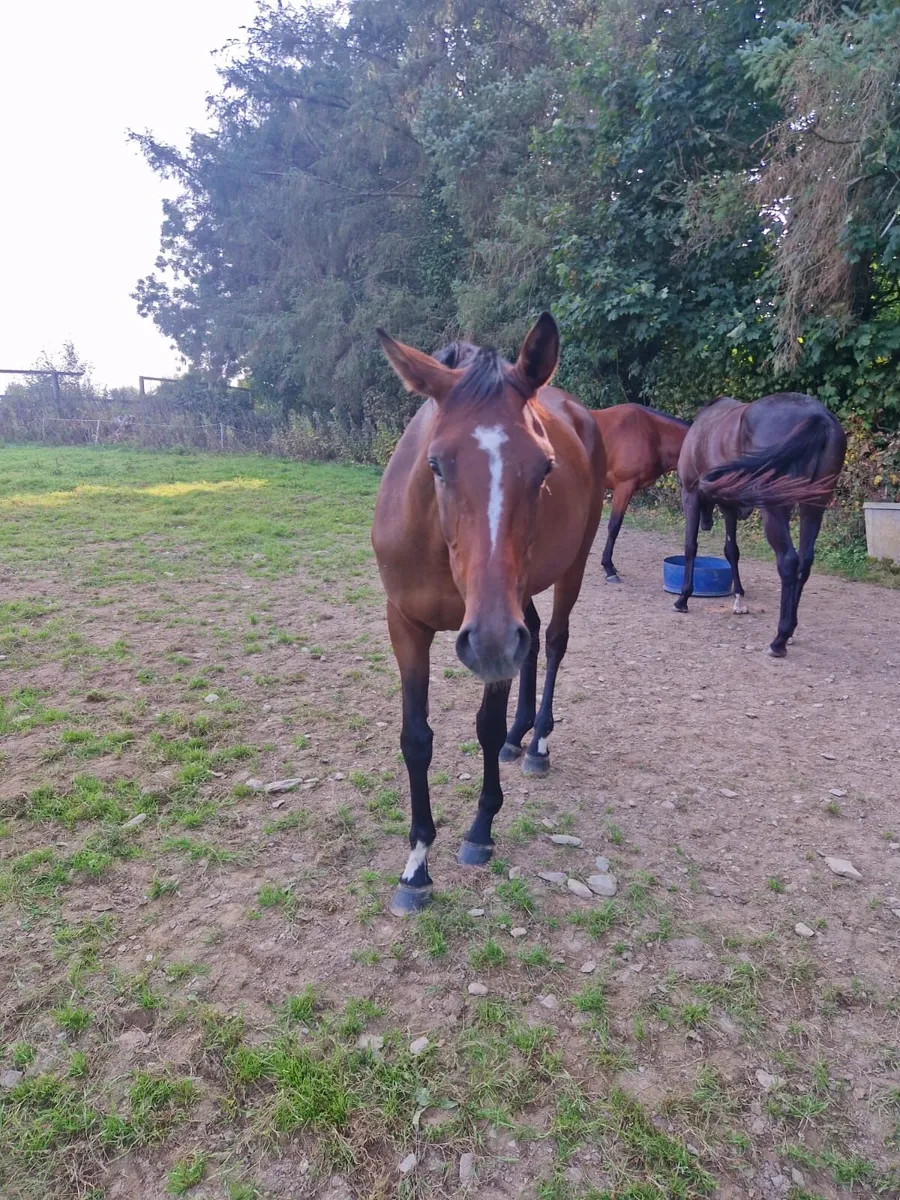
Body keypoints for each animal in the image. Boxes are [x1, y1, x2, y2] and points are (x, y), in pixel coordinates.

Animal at [372, 315, 606, 915]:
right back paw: (518, 736)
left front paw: (480, 829)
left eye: (545, 466)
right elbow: (416, 738)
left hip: (566, 571)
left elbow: (483, 723)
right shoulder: (406, 625)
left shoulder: (494, 634)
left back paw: (537, 741)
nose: (493, 642)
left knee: (555, 641)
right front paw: (415, 867)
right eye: (436, 463)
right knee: (536, 637)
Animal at [674, 393, 846, 657]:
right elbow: (731, 551)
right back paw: (790, 631)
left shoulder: (690, 493)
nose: (706, 524)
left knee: (788, 561)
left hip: (775, 508)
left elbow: (690, 546)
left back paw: (779, 639)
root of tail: (817, 416)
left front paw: (683, 598)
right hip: (814, 506)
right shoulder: (730, 505)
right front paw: (738, 597)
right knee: (804, 562)